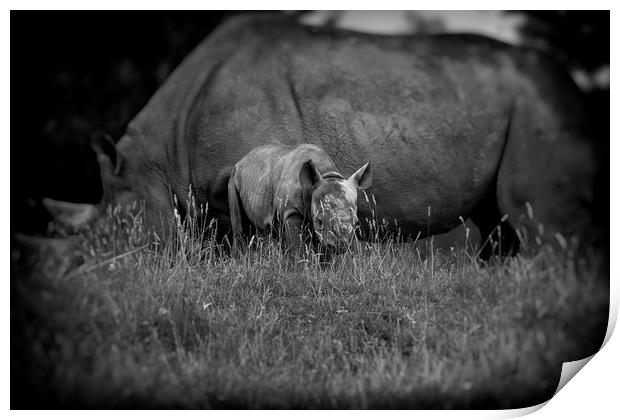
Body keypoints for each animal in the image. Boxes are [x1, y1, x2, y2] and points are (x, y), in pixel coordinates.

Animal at [230, 143, 370, 251]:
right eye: (319, 221)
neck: (327, 175)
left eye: (356, 222)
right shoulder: (291, 212)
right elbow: (298, 246)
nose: (340, 246)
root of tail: (242, 159)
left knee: (263, 228)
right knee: (239, 228)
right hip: (233, 176)